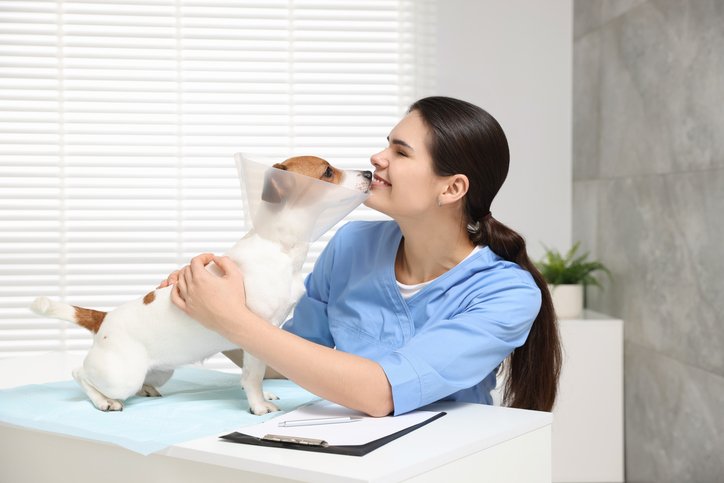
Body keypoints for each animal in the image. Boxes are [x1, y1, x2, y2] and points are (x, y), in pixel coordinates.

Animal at [30, 156, 370, 416]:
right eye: (327, 171)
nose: (368, 172)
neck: (279, 246)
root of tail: (105, 318)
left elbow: (259, 371)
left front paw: (265, 395)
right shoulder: (255, 332)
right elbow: (253, 375)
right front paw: (259, 405)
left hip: (161, 369)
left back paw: (146, 388)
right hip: (121, 374)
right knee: (80, 374)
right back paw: (103, 401)